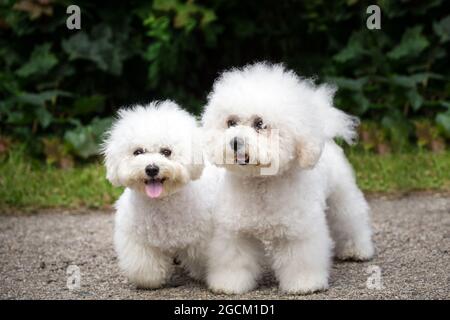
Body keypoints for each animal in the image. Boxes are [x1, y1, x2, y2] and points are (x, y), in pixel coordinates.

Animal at [103, 101, 220, 288]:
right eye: (138, 152)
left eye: (166, 151)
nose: (151, 169)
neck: (162, 203)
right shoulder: (138, 241)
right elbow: (145, 267)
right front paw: (150, 281)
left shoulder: (202, 238)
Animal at [202, 62, 374, 296]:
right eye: (231, 122)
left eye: (260, 123)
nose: (235, 142)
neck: (260, 182)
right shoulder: (235, 231)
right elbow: (235, 258)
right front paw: (229, 284)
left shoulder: (298, 231)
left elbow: (300, 258)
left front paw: (305, 284)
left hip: (341, 196)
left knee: (350, 220)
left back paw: (357, 250)